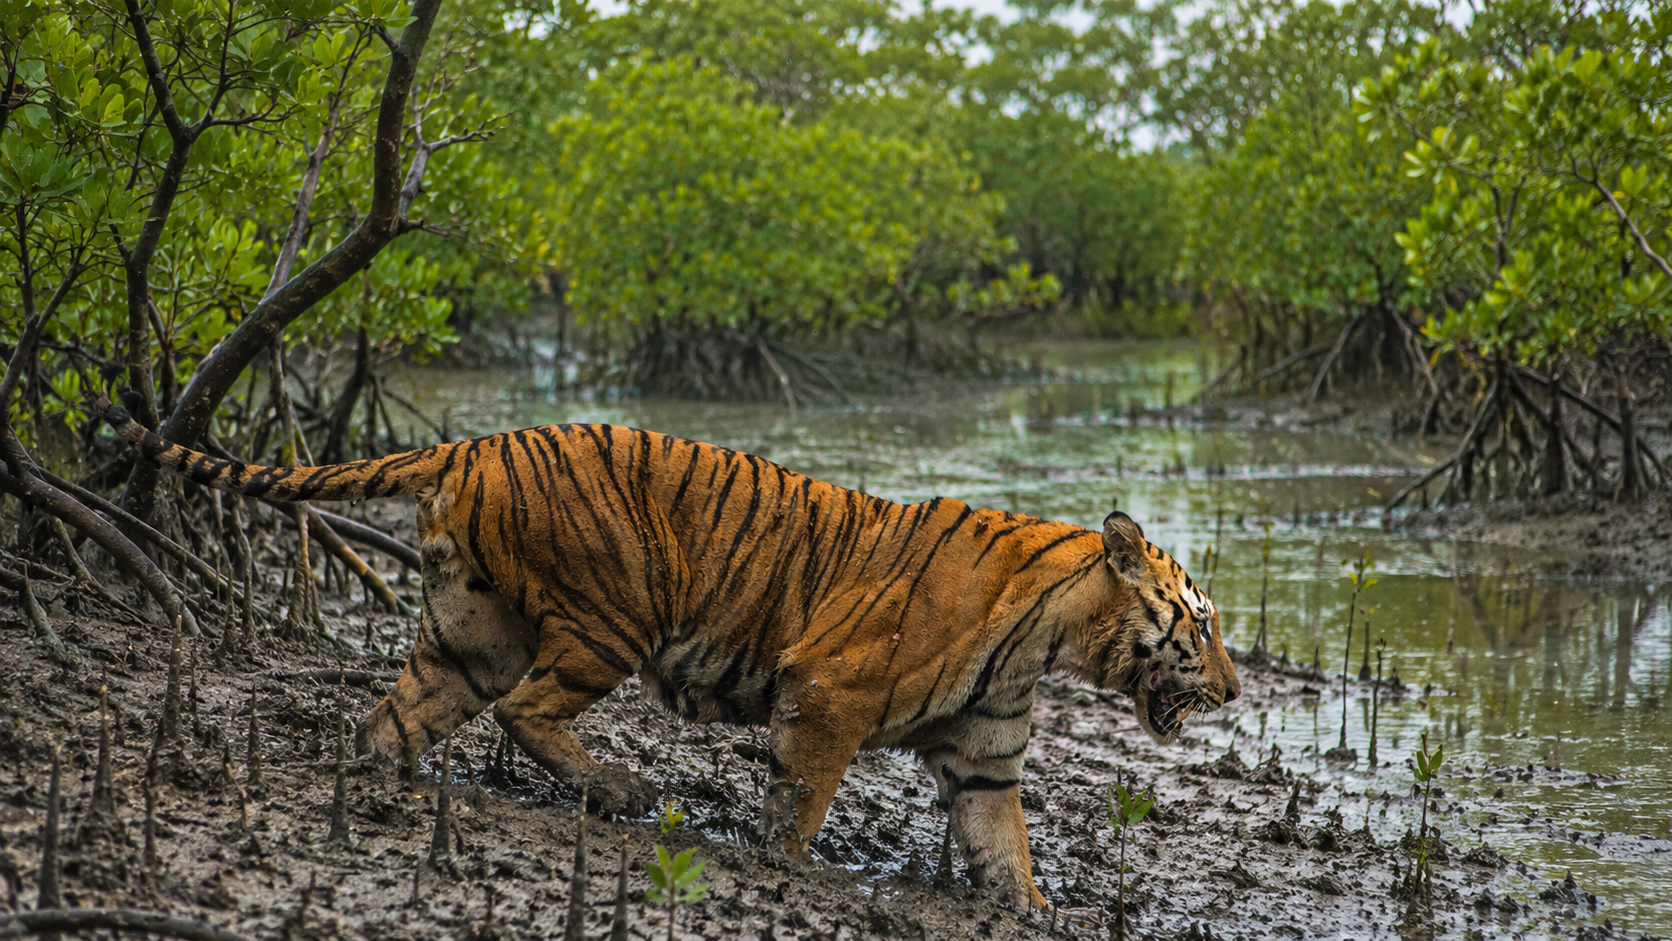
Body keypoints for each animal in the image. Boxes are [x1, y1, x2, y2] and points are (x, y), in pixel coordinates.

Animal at [98, 399, 1239, 909]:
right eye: (1204, 622)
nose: (1233, 690)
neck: (1053, 637)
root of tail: (475, 439)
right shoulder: (826, 691)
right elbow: (801, 800)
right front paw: (783, 865)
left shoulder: (987, 755)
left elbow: (1006, 846)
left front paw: (1037, 912)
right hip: (614, 611)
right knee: (527, 710)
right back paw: (620, 789)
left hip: (469, 632)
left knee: (396, 713)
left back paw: (382, 787)